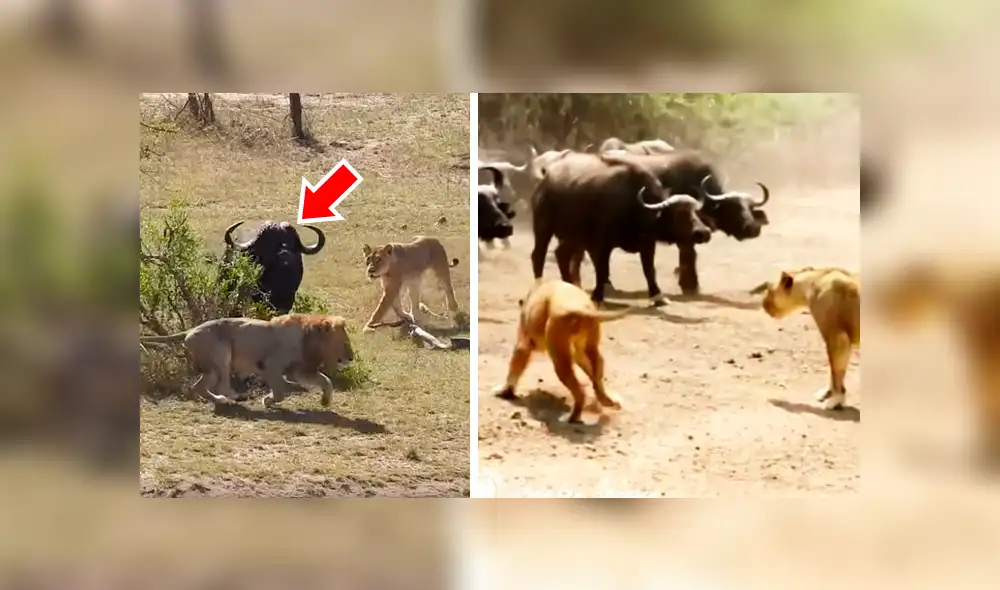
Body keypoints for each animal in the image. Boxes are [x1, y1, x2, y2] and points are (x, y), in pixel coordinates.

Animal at [140, 314, 354, 409]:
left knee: (199, 387)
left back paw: (221, 400)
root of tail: (190, 330)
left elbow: (326, 381)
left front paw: (325, 401)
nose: (351, 358)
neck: (309, 337)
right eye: (345, 343)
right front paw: (270, 399)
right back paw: (235, 396)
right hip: (223, 351)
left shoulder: (302, 369)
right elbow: (280, 390)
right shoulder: (271, 366)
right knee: (220, 385)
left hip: (211, 369)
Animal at [492, 280, 632, 424]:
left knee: (578, 389)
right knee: (596, 371)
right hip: (588, 343)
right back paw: (606, 401)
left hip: (558, 347)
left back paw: (573, 417)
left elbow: (515, 365)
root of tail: (583, 310)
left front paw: (504, 392)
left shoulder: (523, 342)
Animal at [531, 152, 712, 306]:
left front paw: (658, 296)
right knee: (538, 255)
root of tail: (545, 178)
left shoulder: (647, 244)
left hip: (573, 236)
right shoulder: (602, 245)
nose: (704, 233)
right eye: (679, 214)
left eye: (695, 212)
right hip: (543, 227)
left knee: (561, 254)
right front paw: (597, 296)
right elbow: (602, 270)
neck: (634, 205)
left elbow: (649, 270)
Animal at [751, 266, 860, 411]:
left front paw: (835, 400)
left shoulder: (837, 337)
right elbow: (834, 372)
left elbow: (836, 371)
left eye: (769, 290)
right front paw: (827, 394)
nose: (763, 304)